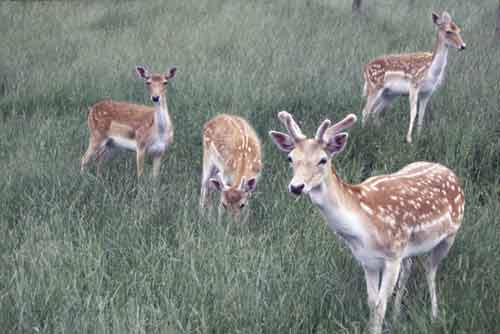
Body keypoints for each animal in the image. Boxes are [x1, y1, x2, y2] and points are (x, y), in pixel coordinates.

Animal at [270, 111, 464, 334]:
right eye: (290, 158)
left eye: (323, 160)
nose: (296, 187)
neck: (361, 228)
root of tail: (451, 172)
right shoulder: (367, 260)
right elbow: (372, 301)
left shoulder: (392, 255)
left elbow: (380, 303)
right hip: (409, 247)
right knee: (409, 268)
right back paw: (397, 316)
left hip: (450, 233)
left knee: (430, 270)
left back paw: (434, 316)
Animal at [362, 10, 466, 144]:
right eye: (448, 31)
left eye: (458, 29)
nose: (463, 46)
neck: (431, 71)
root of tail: (365, 69)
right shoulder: (414, 86)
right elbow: (413, 112)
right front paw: (409, 139)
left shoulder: (428, 92)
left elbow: (421, 114)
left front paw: (419, 135)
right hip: (374, 87)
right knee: (366, 111)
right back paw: (363, 133)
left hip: (390, 94)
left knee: (375, 111)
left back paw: (377, 131)